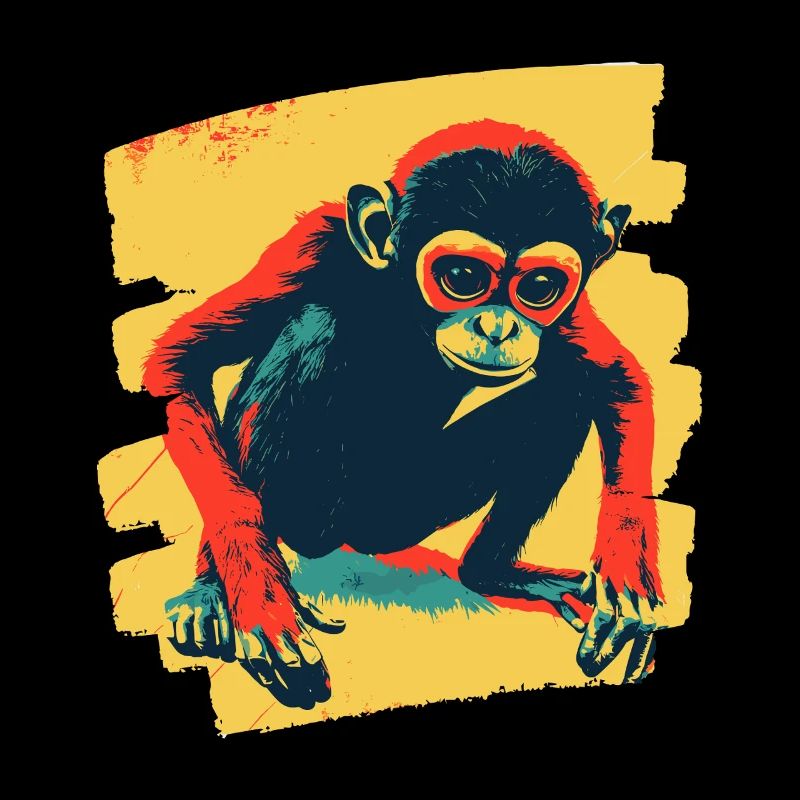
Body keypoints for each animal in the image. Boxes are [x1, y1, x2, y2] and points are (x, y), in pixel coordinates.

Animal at [144, 120, 664, 710]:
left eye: (538, 289)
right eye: (462, 276)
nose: (499, 327)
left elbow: (616, 380)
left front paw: (625, 577)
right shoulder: (310, 245)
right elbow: (180, 366)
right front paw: (256, 594)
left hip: (402, 514)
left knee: (562, 394)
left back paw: (491, 572)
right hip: (309, 515)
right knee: (315, 325)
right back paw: (215, 592)